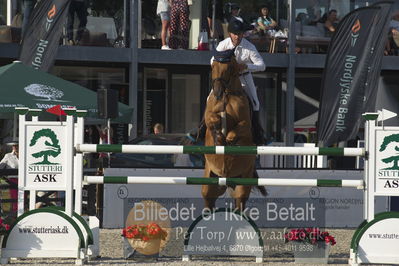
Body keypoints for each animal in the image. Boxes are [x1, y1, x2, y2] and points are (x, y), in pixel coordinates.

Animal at [203, 55, 266, 211]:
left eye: (230, 67)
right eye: (213, 66)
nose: (217, 92)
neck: (227, 95)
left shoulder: (245, 124)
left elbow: (236, 131)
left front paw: (228, 142)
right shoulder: (209, 115)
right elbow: (212, 119)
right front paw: (219, 138)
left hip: (244, 180)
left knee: (240, 202)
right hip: (210, 180)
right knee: (208, 198)